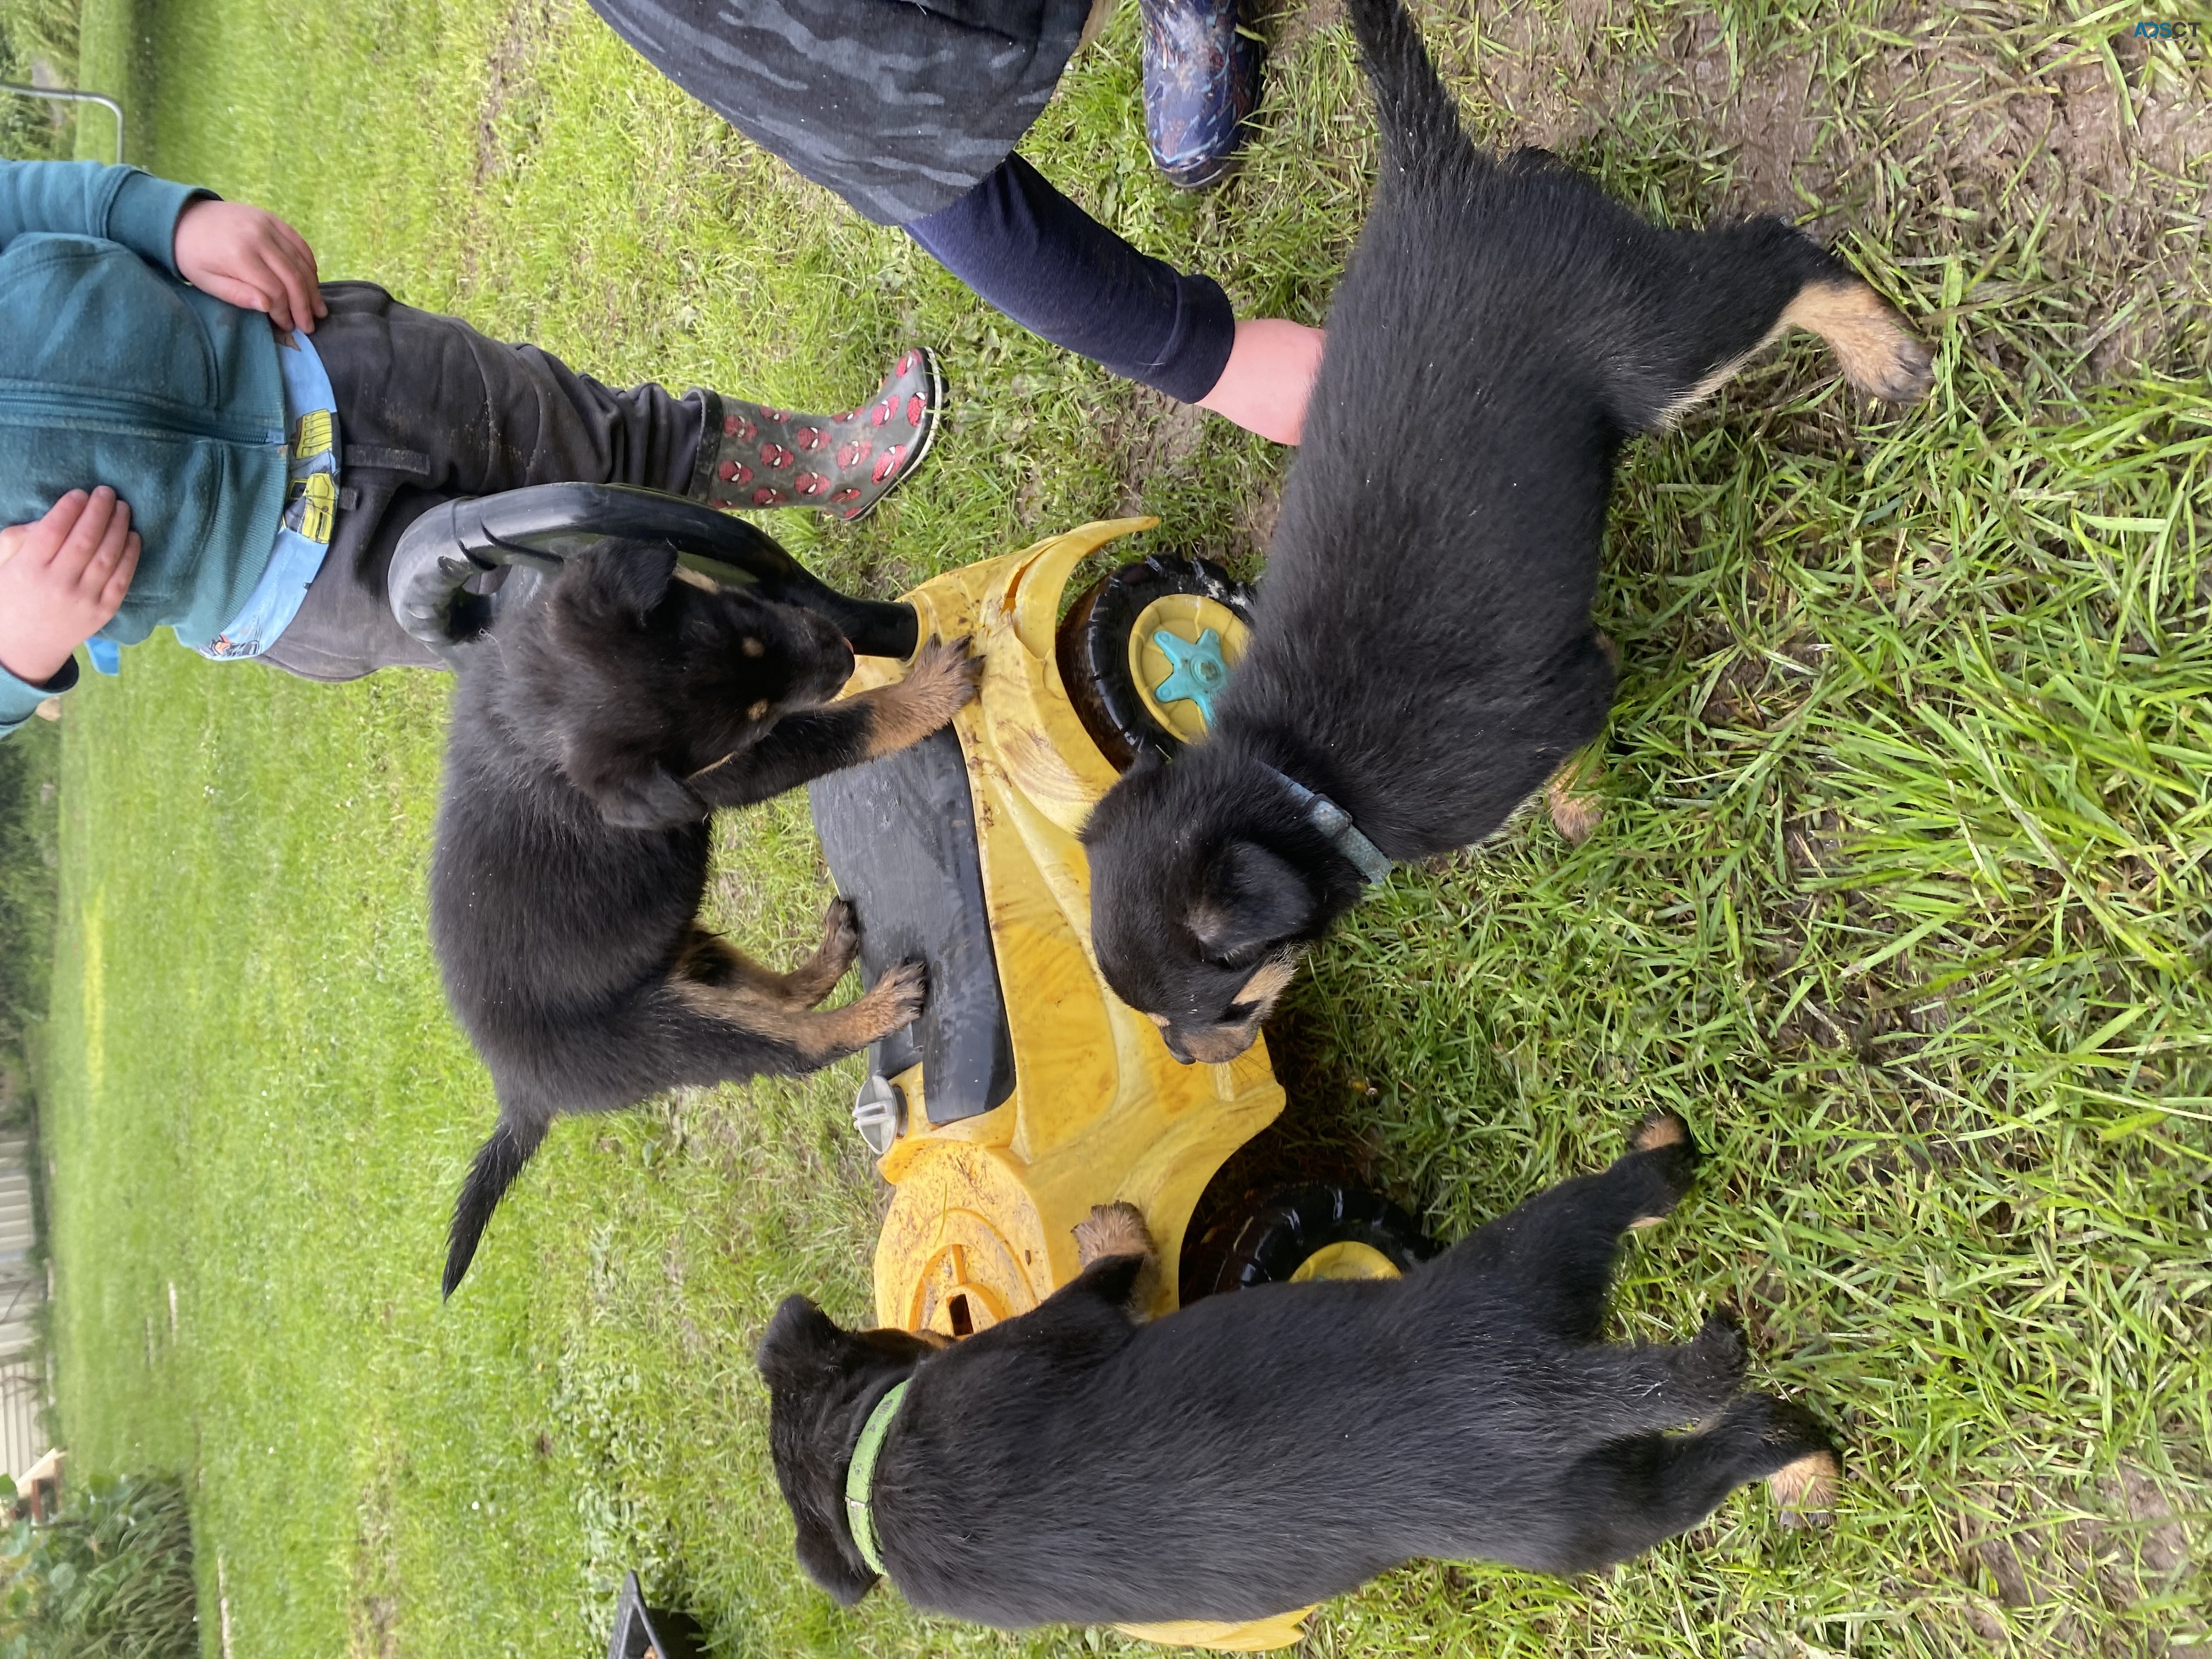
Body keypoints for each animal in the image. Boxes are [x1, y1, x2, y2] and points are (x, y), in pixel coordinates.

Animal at [431, 546, 978, 1300]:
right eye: (751, 717)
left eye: (745, 618)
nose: (842, 655)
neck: (530, 724)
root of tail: (518, 1095)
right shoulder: (732, 769)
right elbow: (842, 730)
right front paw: (928, 691)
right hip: (667, 1033)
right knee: (793, 1046)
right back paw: (877, 1008)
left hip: (676, 948)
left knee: (768, 989)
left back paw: (832, 954)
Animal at [761, 1119, 1831, 1637]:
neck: (859, 1468)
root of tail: (1516, 1395)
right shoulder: (1064, 1323)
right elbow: (1110, 1266)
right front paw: (1112, 1223)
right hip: (1580, 1480)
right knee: (1706, 1421)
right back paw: (1790, 1446)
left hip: (1551, 1331)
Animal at [1079, 0, 1928, 1066]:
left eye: (1214, 1006)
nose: (1192, 1060)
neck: (1298, 771)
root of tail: (1432, 178)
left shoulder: (1563, 701)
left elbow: (1572, 755)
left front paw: (1580, 808)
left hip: (1650, 352)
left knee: (1781, 258)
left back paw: (1880, 350)